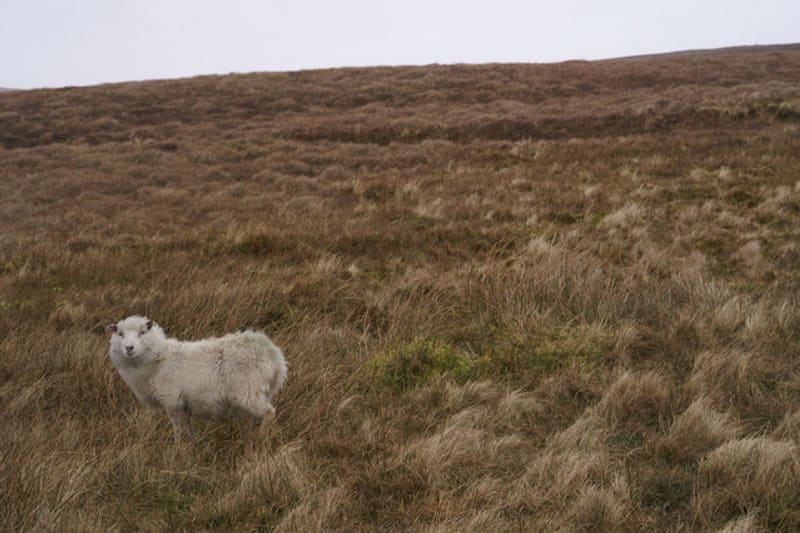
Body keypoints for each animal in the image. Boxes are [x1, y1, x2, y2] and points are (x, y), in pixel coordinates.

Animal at [107, 315, 287, 440]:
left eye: (142, 332)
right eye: (120, 334)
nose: (129, 348)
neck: (158, 359)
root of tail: (273, 354)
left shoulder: (173, 402)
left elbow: (179, 431)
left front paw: (179, 451)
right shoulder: (183, 407)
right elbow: (188, 430)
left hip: (249, 391)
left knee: (269, 413)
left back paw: (262, 438)